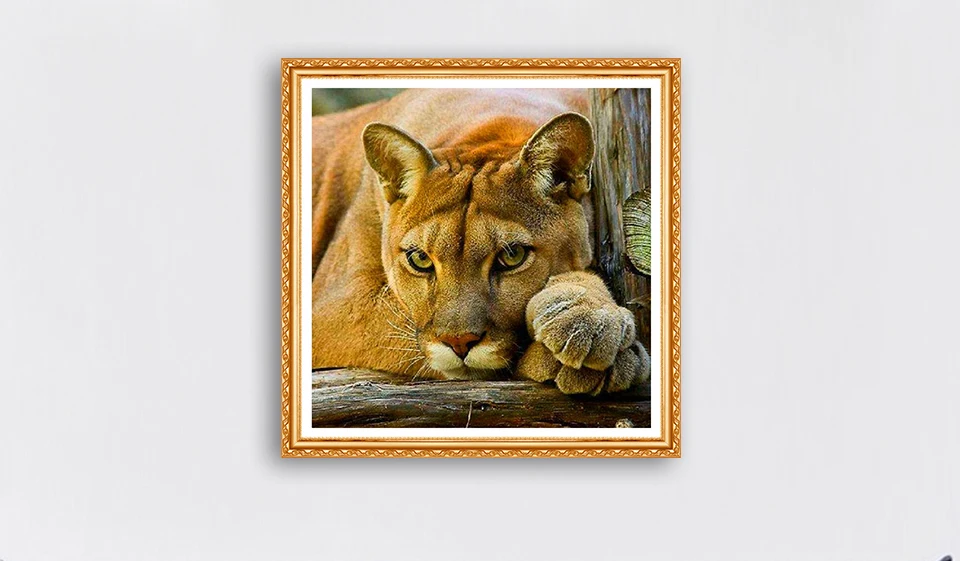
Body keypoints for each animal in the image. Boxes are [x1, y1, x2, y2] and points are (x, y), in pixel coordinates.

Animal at [311, 88, 650, 395]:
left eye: (512, 256)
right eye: (420, 259)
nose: (459, 342)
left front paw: (587, 313)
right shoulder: (337, 305)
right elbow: (404, 332)